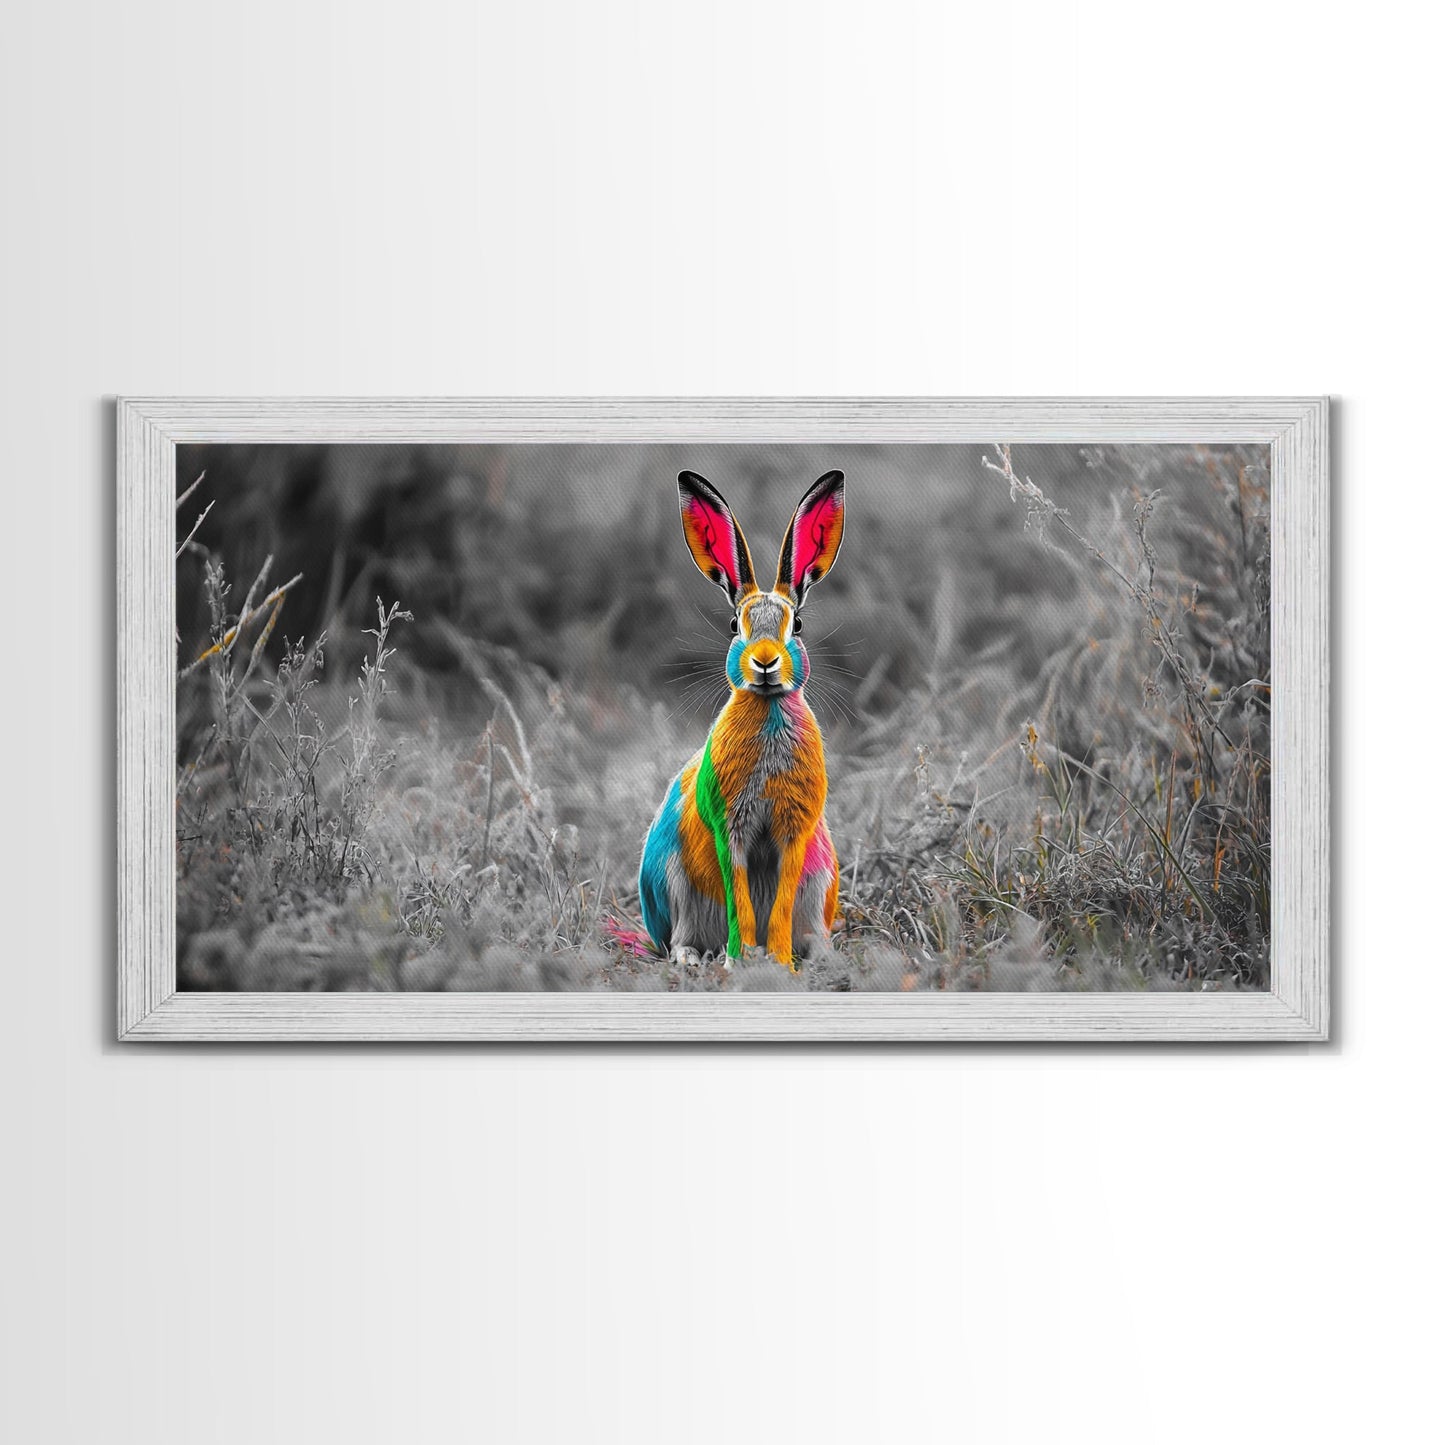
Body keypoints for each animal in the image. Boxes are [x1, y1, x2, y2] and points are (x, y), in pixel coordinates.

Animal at [639, 469, 845, 971]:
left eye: (798, 626)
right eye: (735, 626)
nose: (765, 663)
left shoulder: (796, 833)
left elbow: (782, 899)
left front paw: (779, 961)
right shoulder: (729, 826)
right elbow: (740, 897)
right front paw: (741, 960)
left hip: (822, 875)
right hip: (672, 882)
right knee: (680, 936)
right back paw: (693, 958)